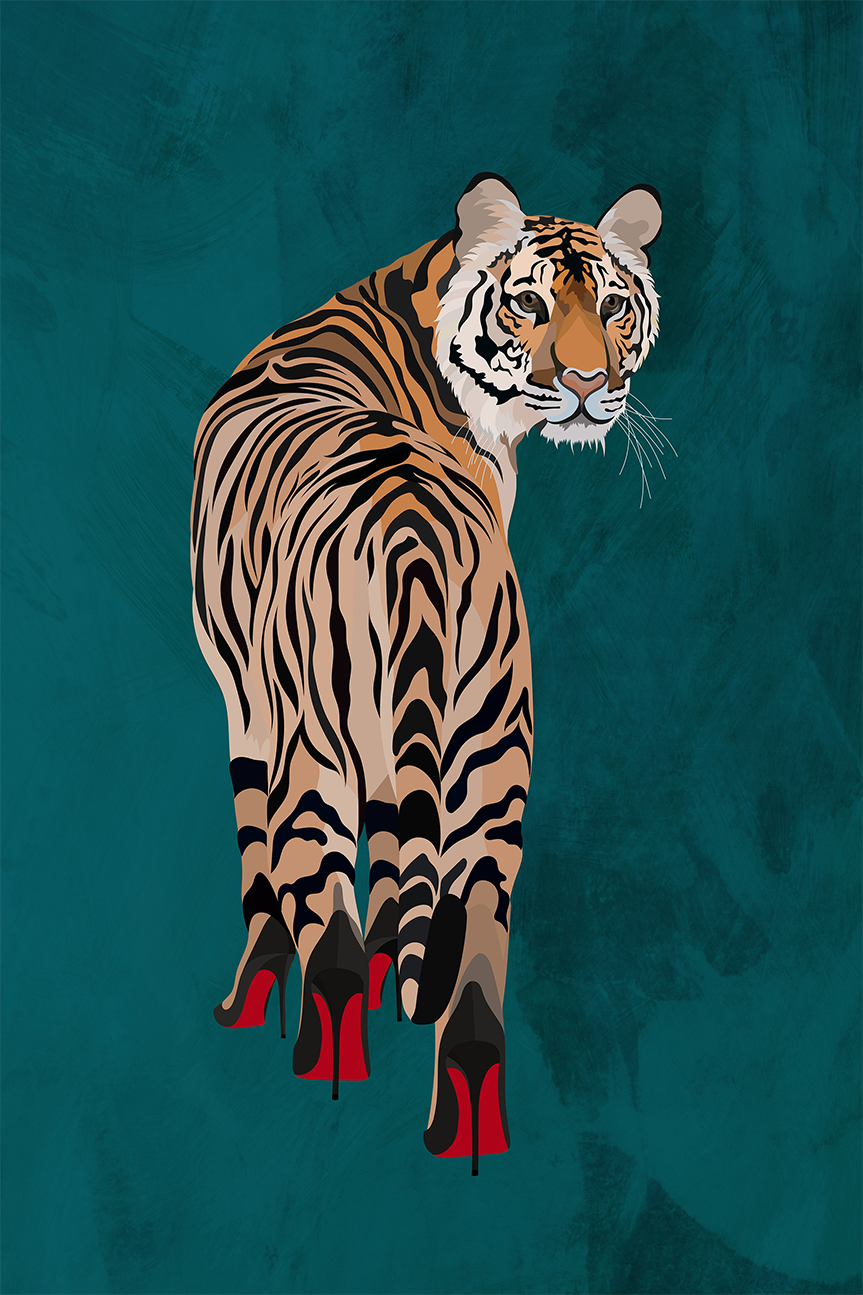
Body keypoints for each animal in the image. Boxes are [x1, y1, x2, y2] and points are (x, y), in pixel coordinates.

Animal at [191, 173, 661, 1170]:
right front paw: (391, 964)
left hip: (318, 751)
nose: (588, 386)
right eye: (528, 304)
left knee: (327, 934)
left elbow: (265, 868)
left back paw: (327, 1080)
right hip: (492, 755)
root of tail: (407, 527)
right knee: (476, 948)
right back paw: (465, 1132)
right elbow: (402, 854)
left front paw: (253, 995)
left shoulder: (252, 709)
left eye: (611, 307)